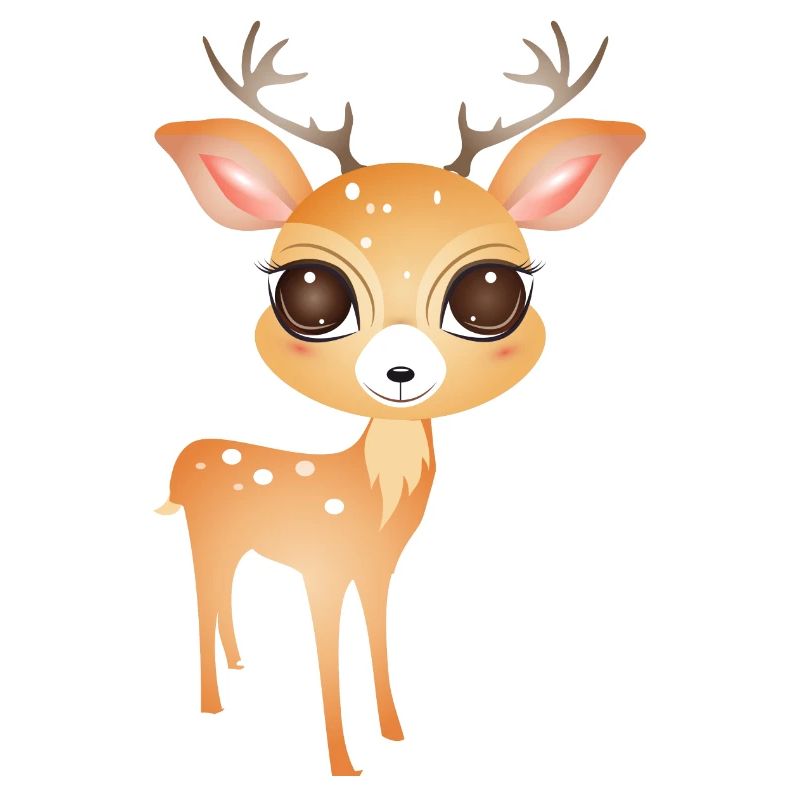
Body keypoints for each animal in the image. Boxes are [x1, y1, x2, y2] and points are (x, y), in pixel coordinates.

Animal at [154, 20, 644, 776]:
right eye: (310, 292)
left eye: (491, 292)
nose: (401, 372)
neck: (369, 495)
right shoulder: (321, 565)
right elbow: (328, 651)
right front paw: (341, 762)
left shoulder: (376, 568)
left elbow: (378, 635)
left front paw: (394, 733)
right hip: (203, 535)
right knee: (204, 594)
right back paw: (211, 703)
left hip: (232, 540)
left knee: (223, 594)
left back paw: (238, 670)